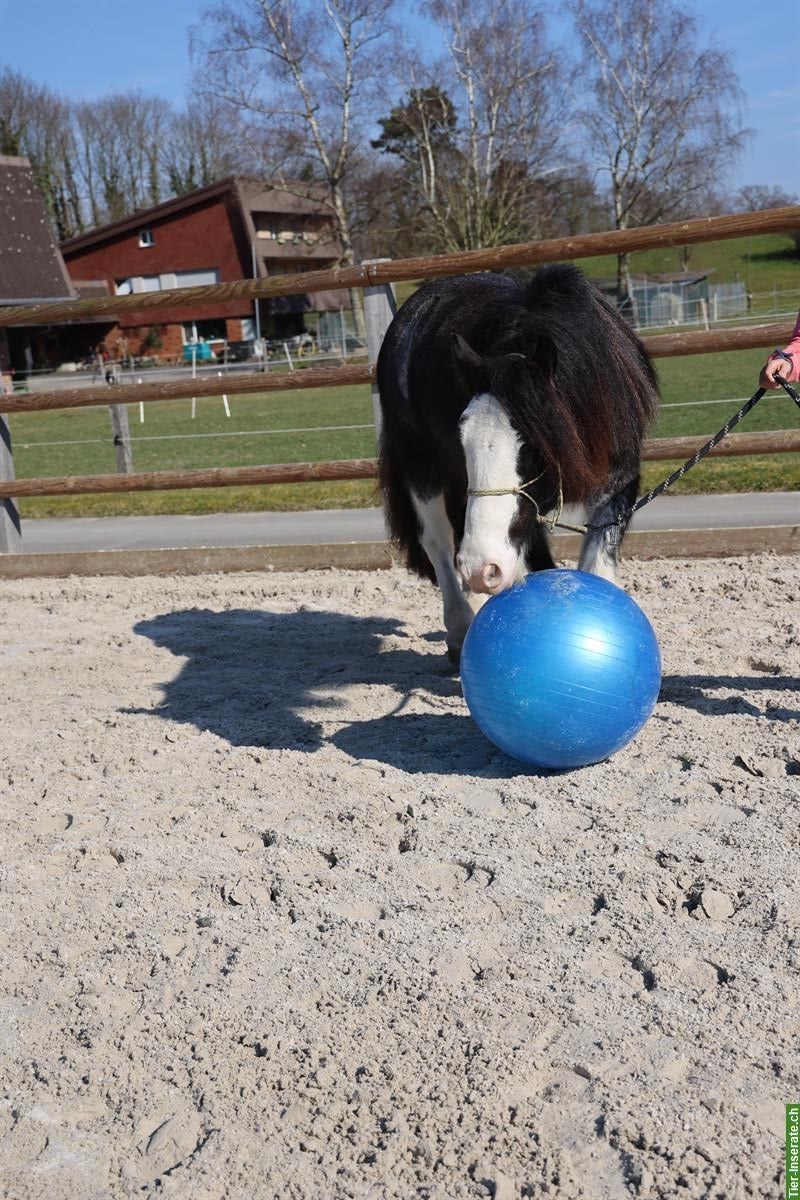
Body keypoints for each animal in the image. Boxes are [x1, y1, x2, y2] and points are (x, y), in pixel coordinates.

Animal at [379, 260, 662, 667]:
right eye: (462, 440)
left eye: (533, 445)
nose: (482, 568)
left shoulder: (618, 484)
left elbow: (597, 566)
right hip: (420, 465)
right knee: (438, 541)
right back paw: (460, 630)